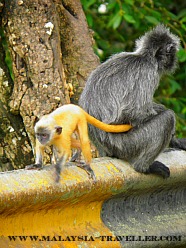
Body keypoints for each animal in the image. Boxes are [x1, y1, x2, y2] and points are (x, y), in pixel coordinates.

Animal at [79, 23, 186, 178]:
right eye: (171, 53)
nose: (174, 59)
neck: (144, 57)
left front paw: (176, 140)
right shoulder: (149, 72)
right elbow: (132, 111)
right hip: (126, 145)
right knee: (168, 118)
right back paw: (143, 167)